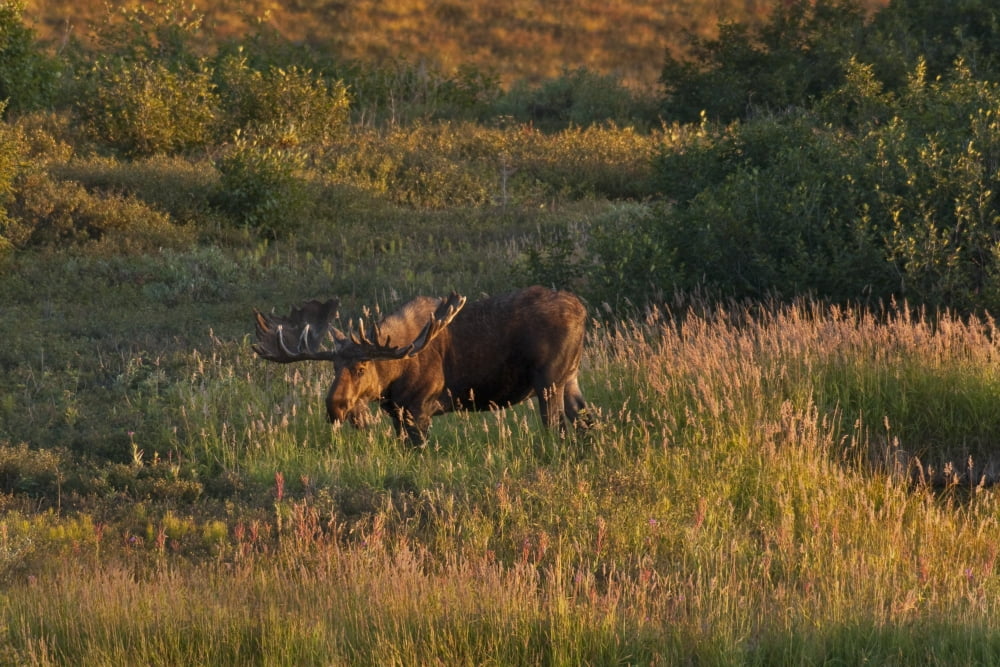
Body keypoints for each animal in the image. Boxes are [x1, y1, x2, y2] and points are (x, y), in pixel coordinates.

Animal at [252, 285, 589, 445]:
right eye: (333, 368)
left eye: (361, 368)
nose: (334, 407)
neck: (391, 378)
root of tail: (582, 310)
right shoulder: (397, 413)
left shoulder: (419, 409)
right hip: (570, 378)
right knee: (586, 420)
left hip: (548, 382)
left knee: (558, 427)